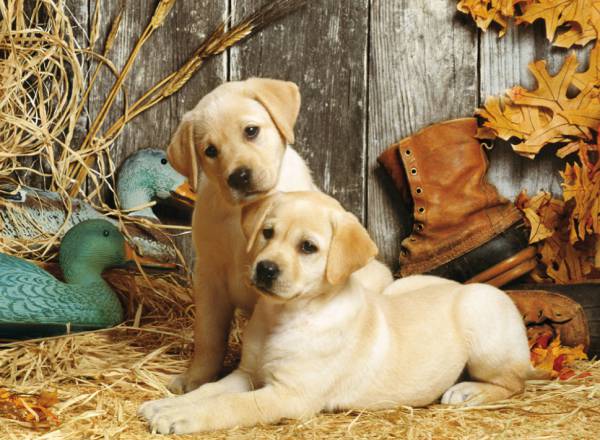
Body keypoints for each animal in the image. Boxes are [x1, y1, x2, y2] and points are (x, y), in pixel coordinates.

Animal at [139, 192, 528, 434]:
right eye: (267, 233)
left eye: (308, 247)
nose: (265, 269)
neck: (285, 315)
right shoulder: (247, 374)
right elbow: (211, 391)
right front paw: (168, 405)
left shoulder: (288, 395)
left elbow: (230, 406)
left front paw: (182, 416)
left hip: (481, 320)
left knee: (514, 382)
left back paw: (469, 392)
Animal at [162, 77, 394, 394]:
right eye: (210, 150)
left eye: (251, 131)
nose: (239, 176)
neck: (239, 213)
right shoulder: (209, 275)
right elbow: (208, 337)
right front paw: (195, 379)